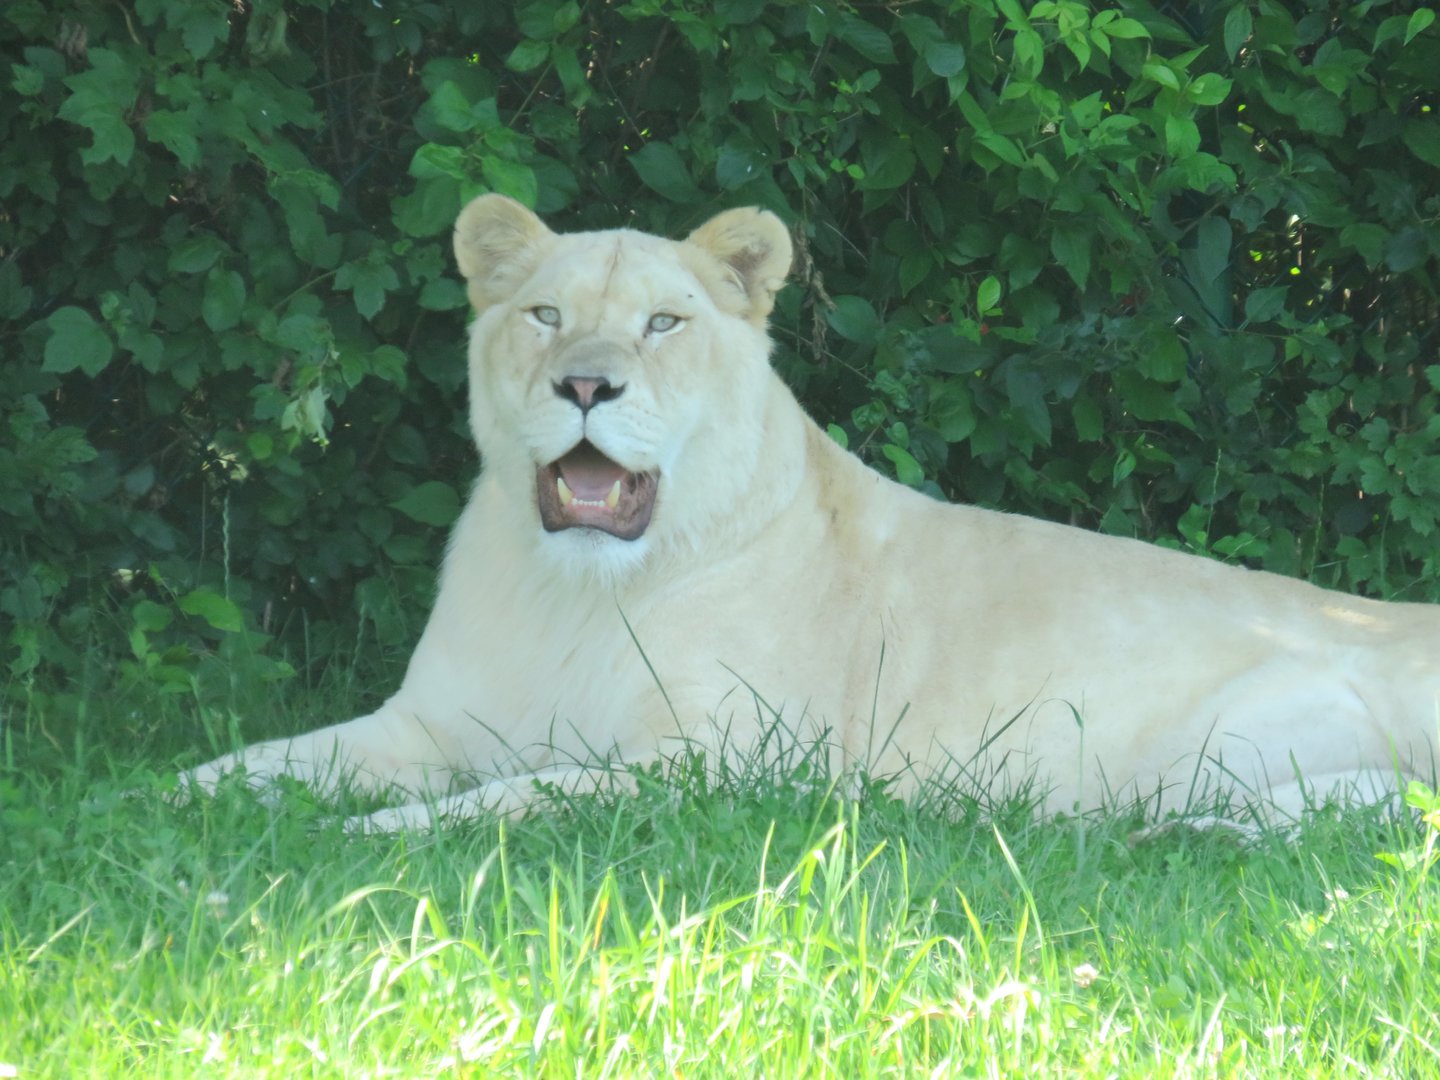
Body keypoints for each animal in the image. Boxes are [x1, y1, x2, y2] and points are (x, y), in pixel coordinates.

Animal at [185, 194, 1438, 832]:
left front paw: (370, 836)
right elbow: (268, 760)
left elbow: (514, 797)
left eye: (662, 324)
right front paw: (159, 803)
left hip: (1216, 738)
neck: (579, 590)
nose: (585, 385)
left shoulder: (727, 765)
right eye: (545, 314)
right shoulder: (428, 724)